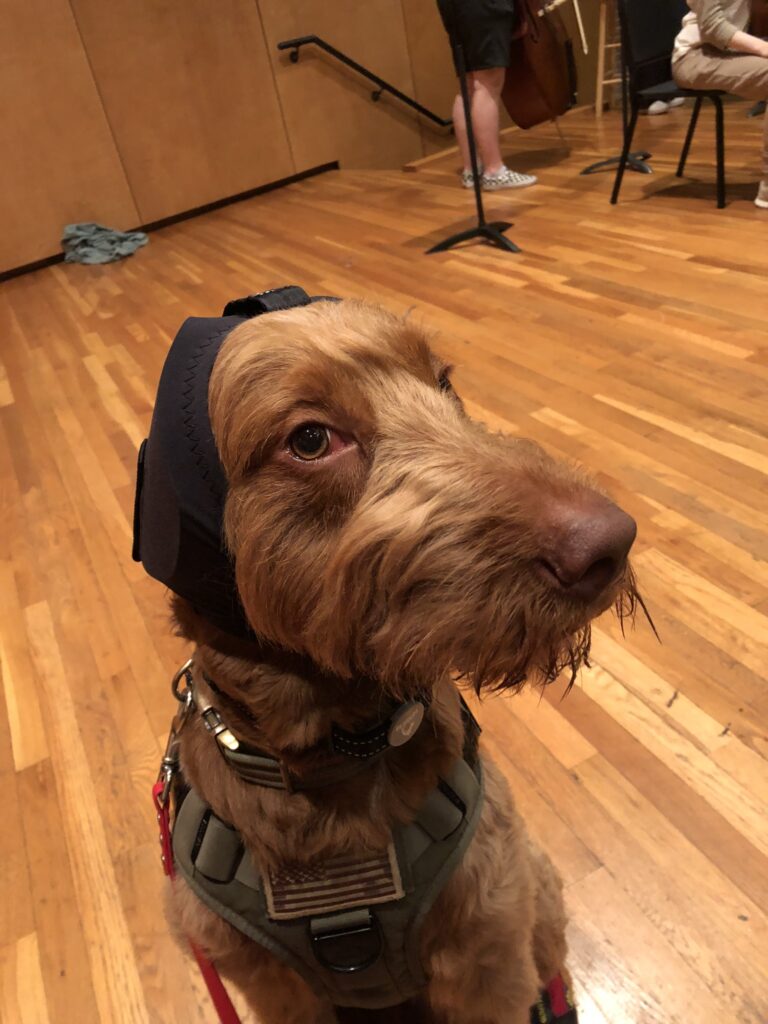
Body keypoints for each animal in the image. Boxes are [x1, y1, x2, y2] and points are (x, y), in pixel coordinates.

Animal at [165, 299, 638, 1024]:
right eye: (310, 439)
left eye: (443, 383)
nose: (611, 544)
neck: (337, 764)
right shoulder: (269, 985)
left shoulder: (488, 946)